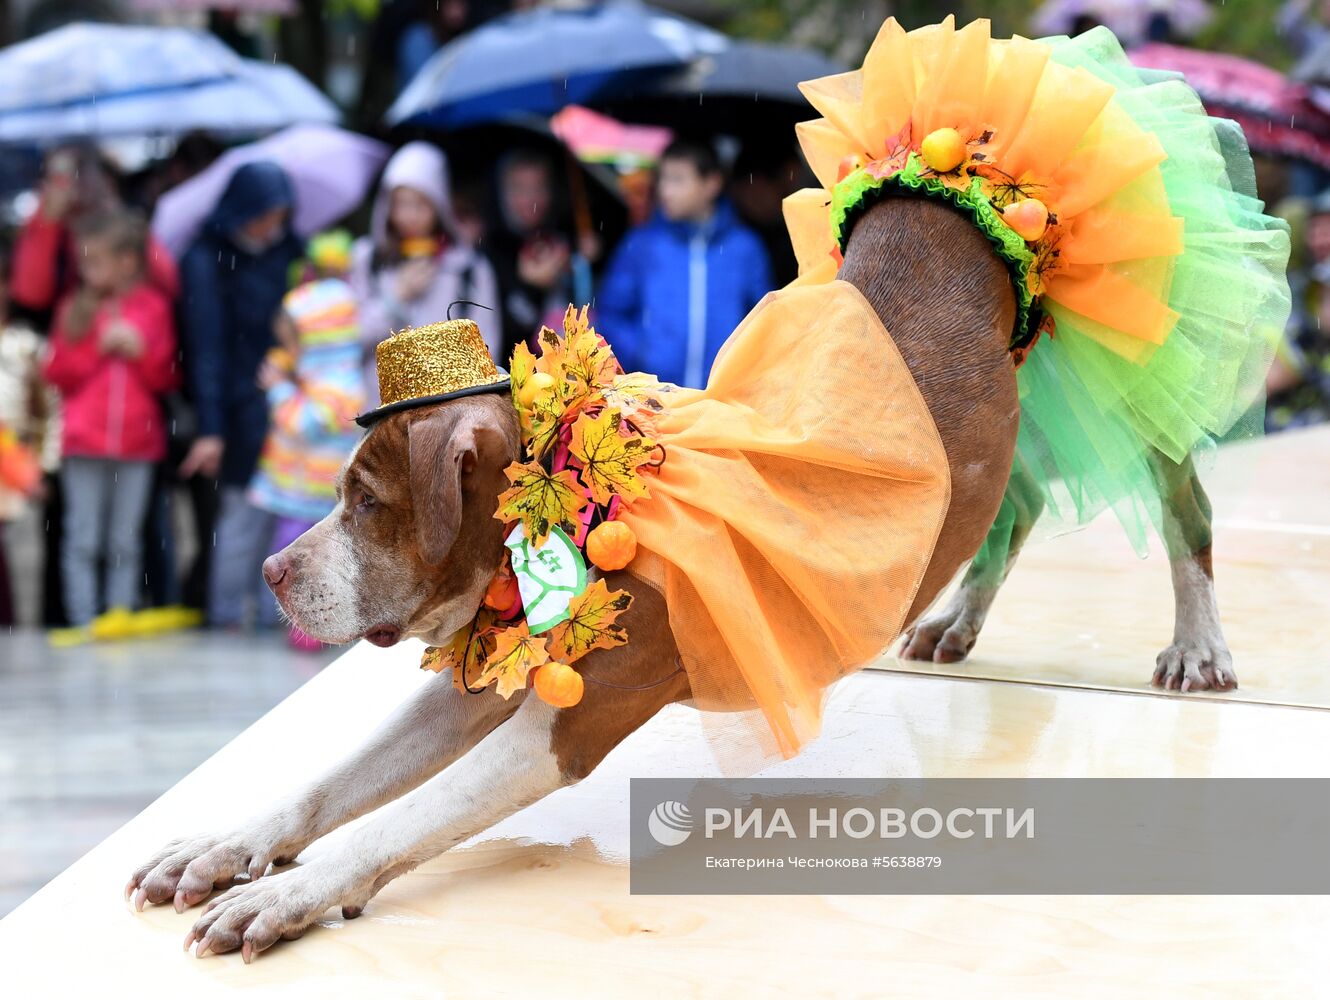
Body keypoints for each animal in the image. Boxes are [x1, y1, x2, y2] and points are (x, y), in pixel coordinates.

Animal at [127, 196, 1234, 962]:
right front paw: (226, 847)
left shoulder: (565, 725)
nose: (271, 568)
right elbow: (334, 781)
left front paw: (289, 894)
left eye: (366, 501)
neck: (570, 505)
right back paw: (955, 619)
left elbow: (397, 819)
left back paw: (1197, 644)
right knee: (1025, 496)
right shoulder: (479, 687)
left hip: (1131, 372)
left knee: (1183, 501)